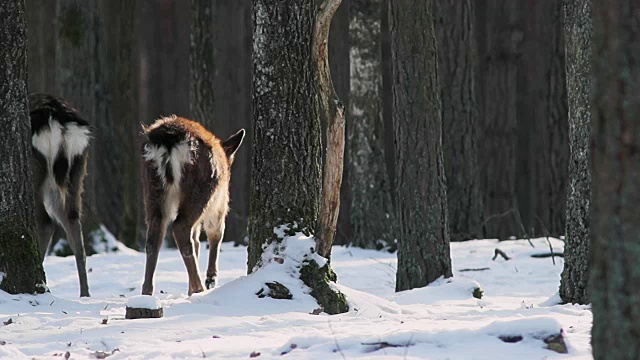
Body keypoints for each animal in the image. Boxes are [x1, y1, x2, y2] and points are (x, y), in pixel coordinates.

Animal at [141, 115, 245, 296]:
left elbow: (196, 240)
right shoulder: (219, 204)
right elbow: (215, 234)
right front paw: (211, 279)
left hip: (152, 187)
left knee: (155, 236)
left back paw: (147, 292)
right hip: (202, 188)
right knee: (180, 227)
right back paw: (200, 288)